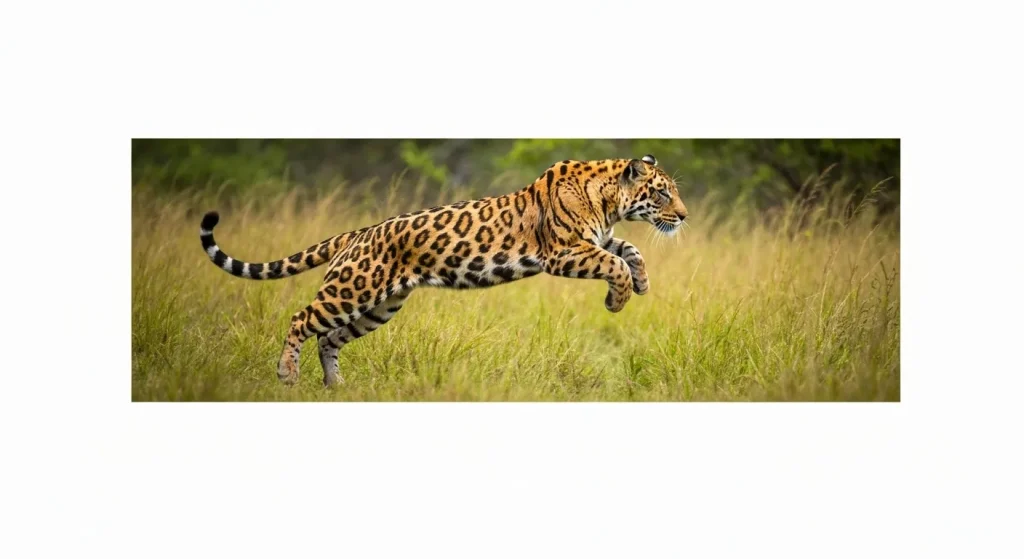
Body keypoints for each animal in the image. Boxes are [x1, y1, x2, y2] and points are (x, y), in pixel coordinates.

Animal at [199, 154, 688, 386]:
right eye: (663, 194)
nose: (683, 216)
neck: (609, 201)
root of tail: (358, 234)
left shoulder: (594, 240)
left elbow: (629, 250)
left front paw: (642, 284)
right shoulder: (563, 251)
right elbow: (614, 262)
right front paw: (618, 299)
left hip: (382, 306)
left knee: (329, 338)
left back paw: (335, 385)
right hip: (352, 289)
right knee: (303, 319)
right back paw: (287, 373)